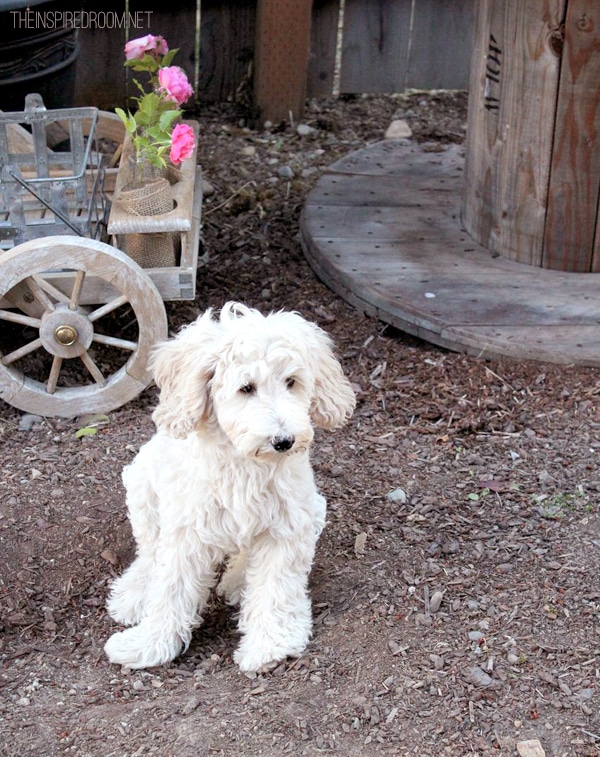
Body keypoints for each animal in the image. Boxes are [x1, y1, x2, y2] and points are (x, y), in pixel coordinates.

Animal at [104, 300, 356, 668]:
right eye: (246, 388)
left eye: (291, 381)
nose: (284, 441)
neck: (245, 462)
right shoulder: (186, 531)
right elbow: (170, 587)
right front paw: (148, 644)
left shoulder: (288, 525)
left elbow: (276, 587)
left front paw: (270, 645)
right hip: (143, 486)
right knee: (149, 552)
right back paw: (135, 594)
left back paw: (237, 581)